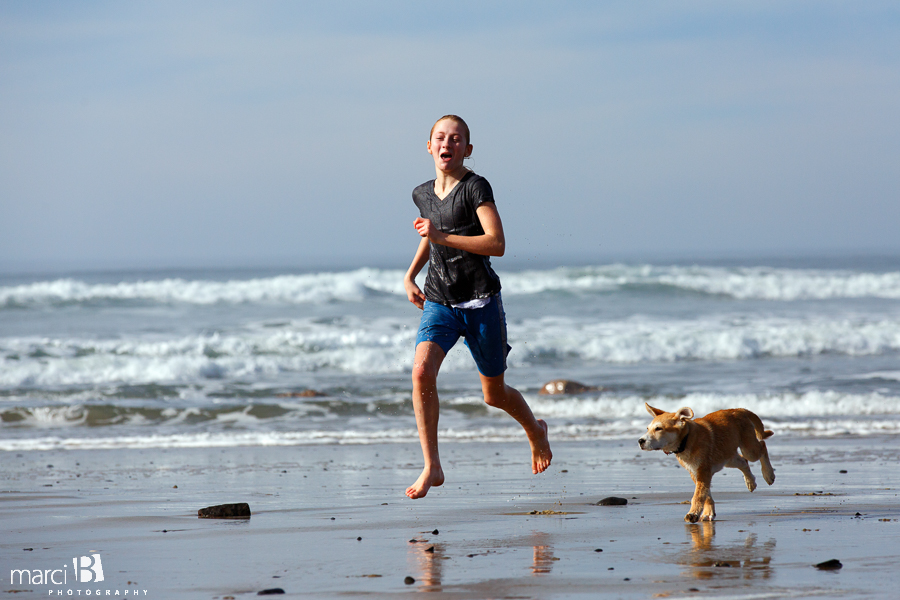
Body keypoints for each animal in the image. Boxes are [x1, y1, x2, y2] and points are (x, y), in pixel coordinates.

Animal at [640, 404, 772, 524]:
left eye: (658, 428)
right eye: (647, 428)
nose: (640, 441)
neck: (687, 440)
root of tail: (738, 409)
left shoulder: (703, 470)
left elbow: (698, 495)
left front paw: (693, 513)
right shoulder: (695, 472)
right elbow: (706, 494)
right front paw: (708, 513)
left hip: (748, 449)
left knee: (762, 446)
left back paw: (768, 475)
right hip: (728, 457)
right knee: (743, 461)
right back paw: (750, 482)